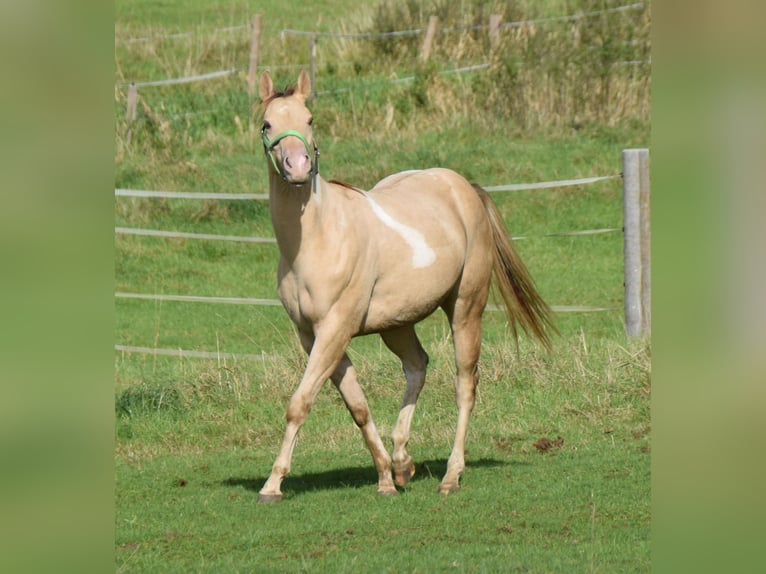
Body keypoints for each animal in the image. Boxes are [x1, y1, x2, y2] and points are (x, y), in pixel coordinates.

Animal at [255, 71, 556, 504]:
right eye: (267, 124)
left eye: (310, 119)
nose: (298, 167)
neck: (317, 237)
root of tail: (462, 186)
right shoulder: (313, 336)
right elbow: (357, 406)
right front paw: (385, 477)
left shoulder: (334, 331)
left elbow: (300, 402)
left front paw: (272, 484)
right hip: (396, 323)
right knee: (417, 366)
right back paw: (402, 463)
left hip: (465, 308)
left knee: (465, 384)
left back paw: (451, 475)